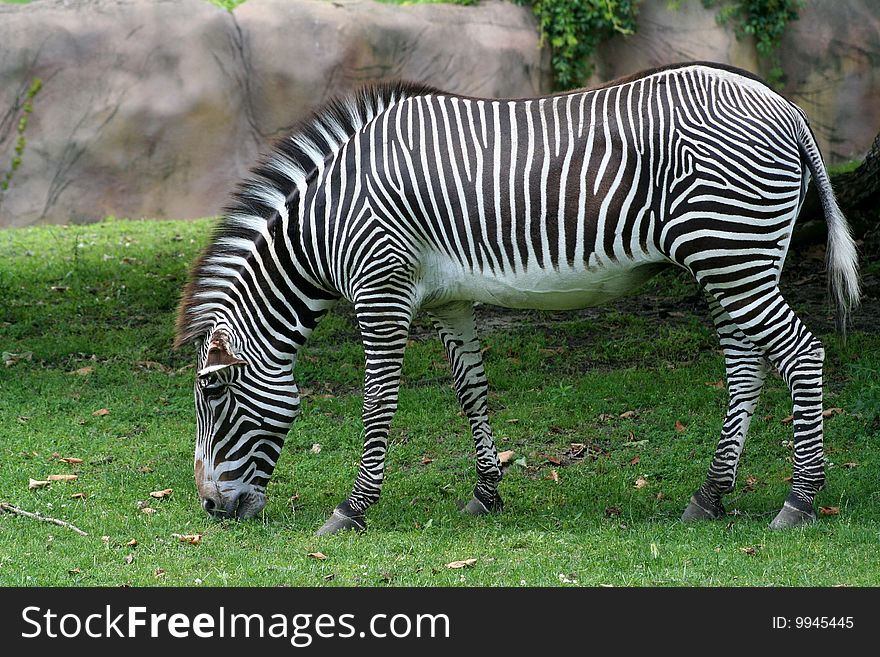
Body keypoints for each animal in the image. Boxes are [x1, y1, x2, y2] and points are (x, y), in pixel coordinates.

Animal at [177, 60, 860, 532]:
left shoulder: (381, 288)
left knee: (801, 354)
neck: (327, 220)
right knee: (746, 367)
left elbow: (378, 404)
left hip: (731, 253)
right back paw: (710, 496)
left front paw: (351, 511)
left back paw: (799, 502)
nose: (209, 508)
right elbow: (471, 392)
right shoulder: (447, 300)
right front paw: (486, 494)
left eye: (213, 395)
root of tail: (784, 105)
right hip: (729, 262)